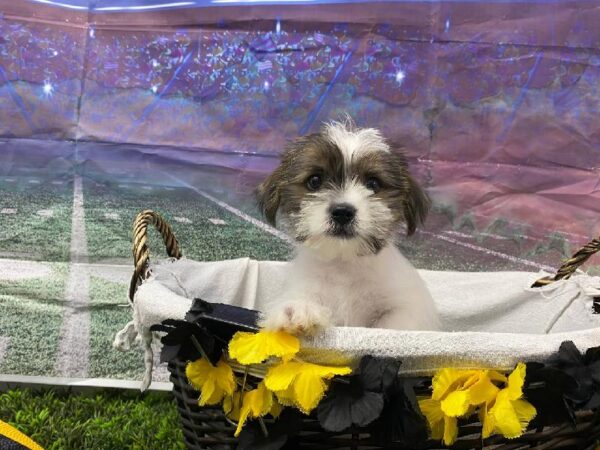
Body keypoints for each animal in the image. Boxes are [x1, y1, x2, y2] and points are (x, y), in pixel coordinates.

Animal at [255, 119, 438, 334]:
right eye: (315, 181)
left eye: (373, 184)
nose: (342, 212)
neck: (343, 265)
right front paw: (299, 309)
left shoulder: (406, 304)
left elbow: (394, 322)